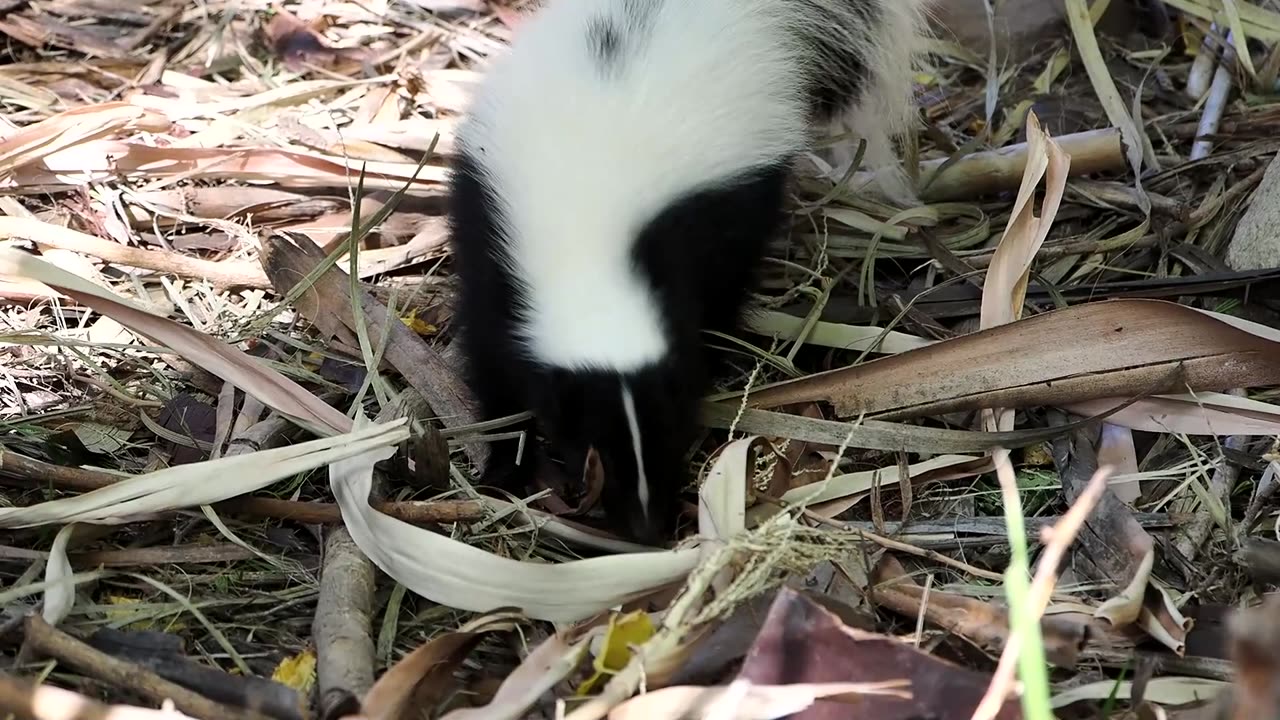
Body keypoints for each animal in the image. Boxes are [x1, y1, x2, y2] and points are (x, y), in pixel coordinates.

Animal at [445, 0, 926, 540]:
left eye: (669, 422)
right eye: (587, 434)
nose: (647, 525)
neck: (586, 235)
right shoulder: (492, 241)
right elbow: (491, 364)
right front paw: (505, 466)